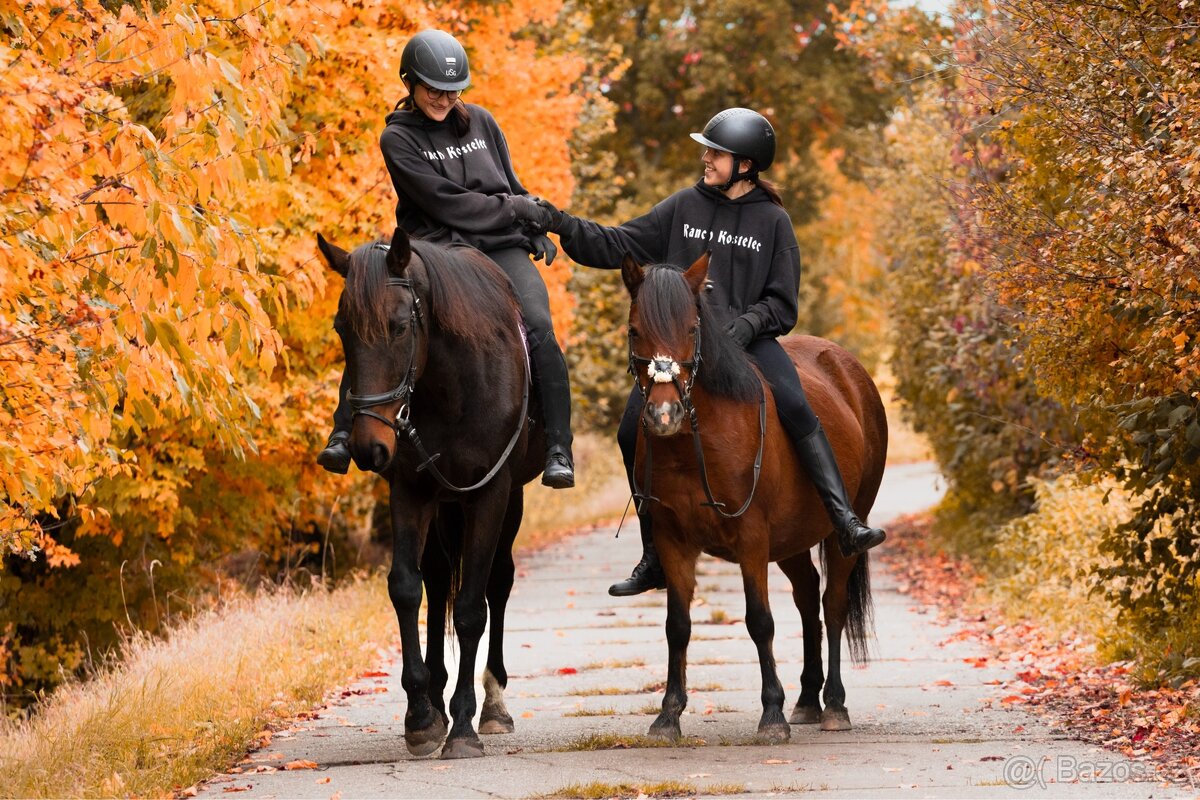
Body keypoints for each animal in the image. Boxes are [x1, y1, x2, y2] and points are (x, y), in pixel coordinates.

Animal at [316, 227, 545, 759]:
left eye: (400, 326)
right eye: (342, 329)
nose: (368, 447)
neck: (450, 384)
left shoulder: (489, 493)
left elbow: (472, 608)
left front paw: (462, 726)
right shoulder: (411, 489)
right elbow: (406, 587)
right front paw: (421, 715)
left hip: (507, 503)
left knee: (497, 583)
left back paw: (493, 706)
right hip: (444, 505)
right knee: (439, 580)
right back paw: (436, 698)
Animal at [621, 252, 886, 742]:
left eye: (693, 329)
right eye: (634, 331)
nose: (664, 415)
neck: (695, 443)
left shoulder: (751, 538)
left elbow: (759, 621)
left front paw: (772, 714)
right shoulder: (672, 540)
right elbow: (677, 626)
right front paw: (668, 715)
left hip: (841, 532)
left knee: (833, 605)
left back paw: (834, 705)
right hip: (792, 541)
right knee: (807, 599)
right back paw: (808, 700)